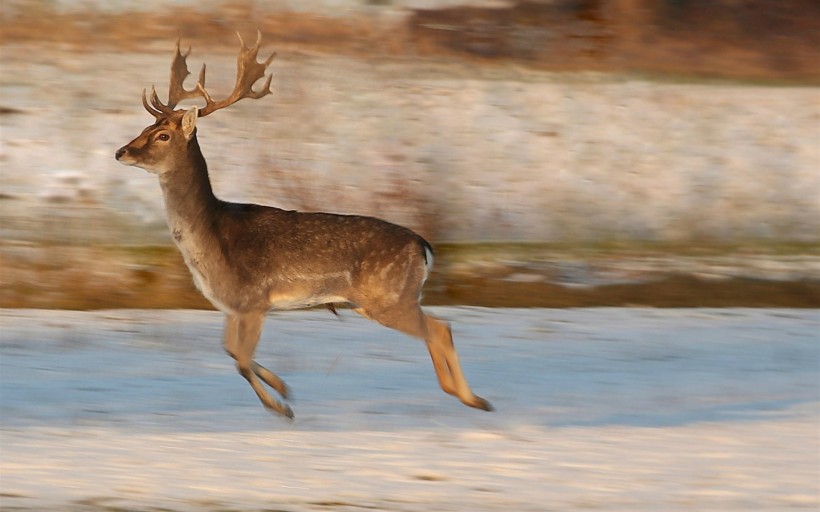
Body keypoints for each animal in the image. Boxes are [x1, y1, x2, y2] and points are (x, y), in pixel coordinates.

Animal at [112, 32, 490, 418]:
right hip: (377, 301)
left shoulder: (252, 300)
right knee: (437, 329)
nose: (121, 152)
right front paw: (283, 388)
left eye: (163, 136)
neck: (211, 240)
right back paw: (456, 392)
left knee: (441, 329)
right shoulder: (233, 306)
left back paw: (474, 399)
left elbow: (241, 360)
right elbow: (231, 351)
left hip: (389, 296)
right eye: (145, 127)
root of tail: (423, 246)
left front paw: (281, 407)